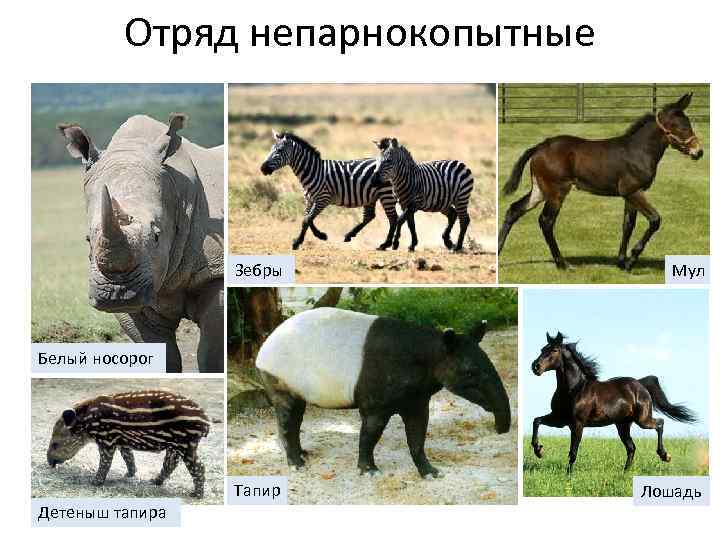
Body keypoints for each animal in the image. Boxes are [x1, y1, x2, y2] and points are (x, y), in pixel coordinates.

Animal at [499, 93, 704, 271]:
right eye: (680, 126)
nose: (698, 152)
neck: (638, 151)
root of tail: (540, 146)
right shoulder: (634, 191)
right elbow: (655, 220)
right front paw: (631, 261)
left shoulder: (629, 195)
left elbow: (628, 225)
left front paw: (621, 263)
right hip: (557, 192)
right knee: (546, 221)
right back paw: (562, 264)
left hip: (540, 190)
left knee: (514, 210)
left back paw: (499, 253)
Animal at [530, 332, 696, 474]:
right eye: (542, 349)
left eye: (554, 350)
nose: (535, 367)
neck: (574, 389)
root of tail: (640, 384)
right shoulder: (560, 419)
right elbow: (537, 421)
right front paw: (539, 451)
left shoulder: (577, 424)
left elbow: (573, 451)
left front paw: (569, 475)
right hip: (623, 425)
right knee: (631, 447)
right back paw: (625, 471)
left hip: (642, 420)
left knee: (660, 423)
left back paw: (665, 455)